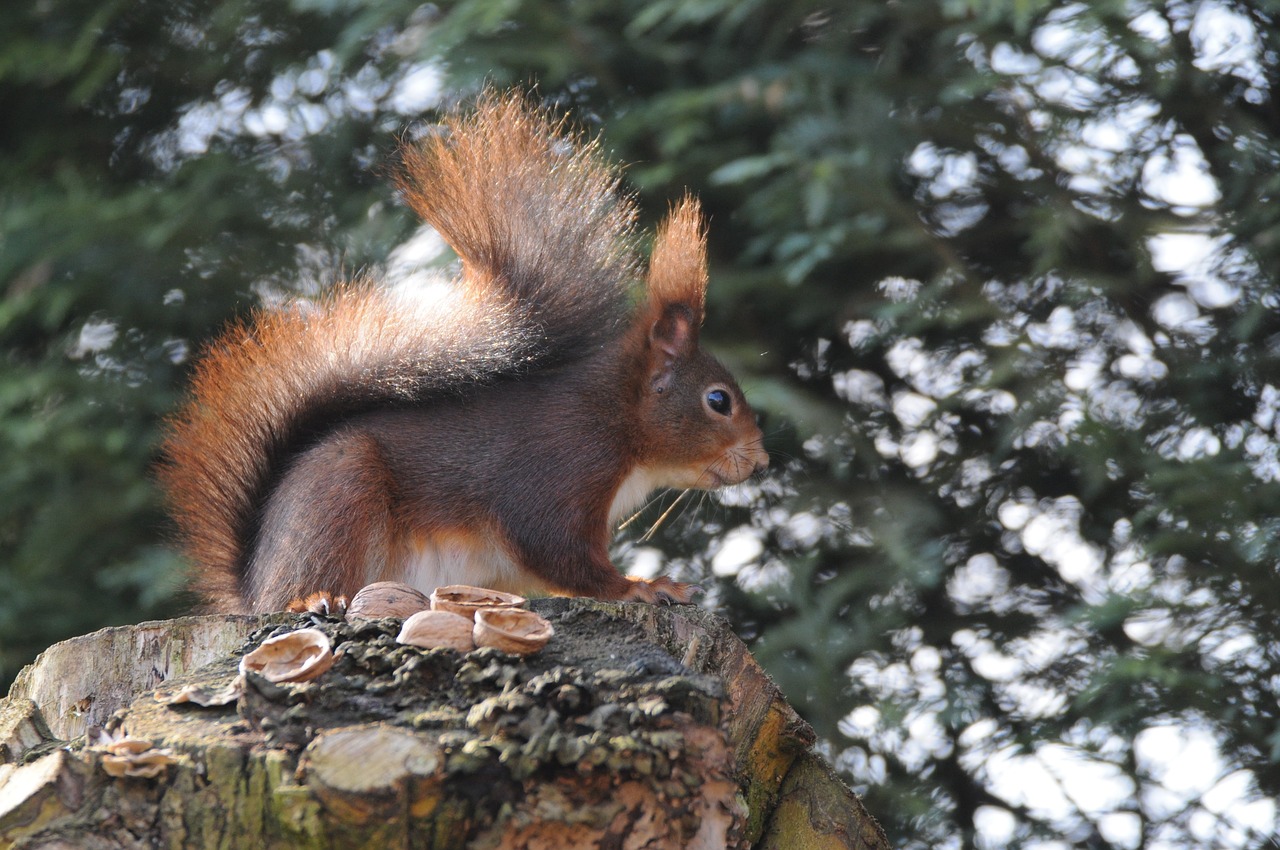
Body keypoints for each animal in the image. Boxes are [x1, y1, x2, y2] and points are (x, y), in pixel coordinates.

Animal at [154, 91, 762, 611]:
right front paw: (641, 586)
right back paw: (312, 599)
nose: (761, 462)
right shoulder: (557, 471)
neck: (616, 419)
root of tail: (254, 586)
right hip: (339, 499)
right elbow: (559, 554)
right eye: (718, 401)